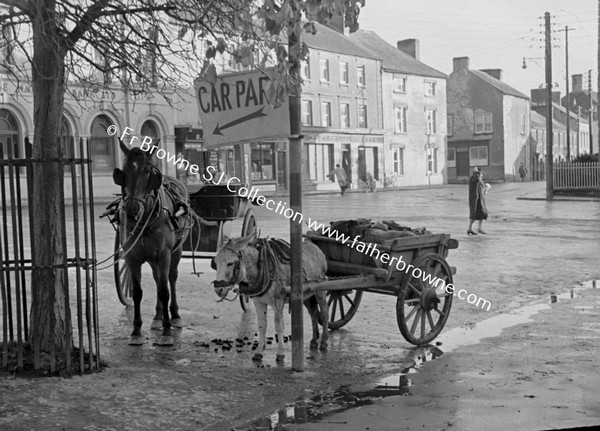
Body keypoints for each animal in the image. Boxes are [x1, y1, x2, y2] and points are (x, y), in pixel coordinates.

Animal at [110, 140, 190, 346]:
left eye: (148, 171)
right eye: (123, 171)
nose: (131, 208)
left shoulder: (164, 255)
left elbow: (164, 290)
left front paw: (167, 332)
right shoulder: (131, 257)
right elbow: (138, 292)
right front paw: (136, 331)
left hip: (176, 251)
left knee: (171, 278)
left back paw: (174, 316)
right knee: (156, 278)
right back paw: (157, 318)